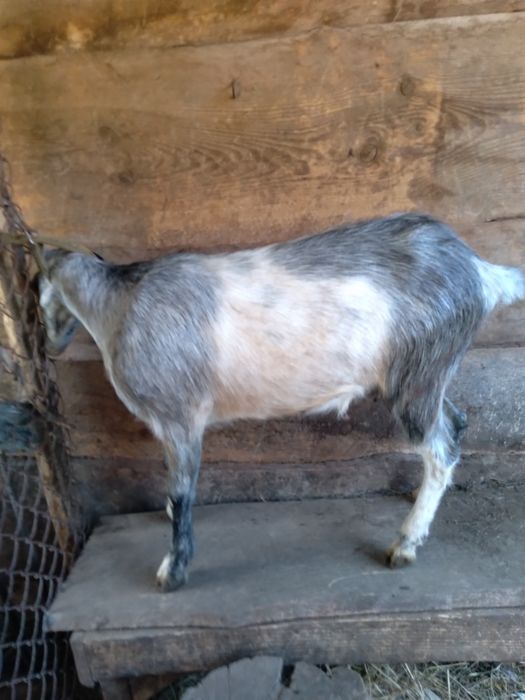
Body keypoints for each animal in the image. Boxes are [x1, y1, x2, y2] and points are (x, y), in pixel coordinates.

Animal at [38, 214, 524, 592]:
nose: (49, 344)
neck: (119, 305)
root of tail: (482, 271)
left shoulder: (180, 417)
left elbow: (181, 491)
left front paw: (172, 572)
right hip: (430, 374)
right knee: (456, 423)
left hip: (417, 375)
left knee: (440, 445)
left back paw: (405, 544)